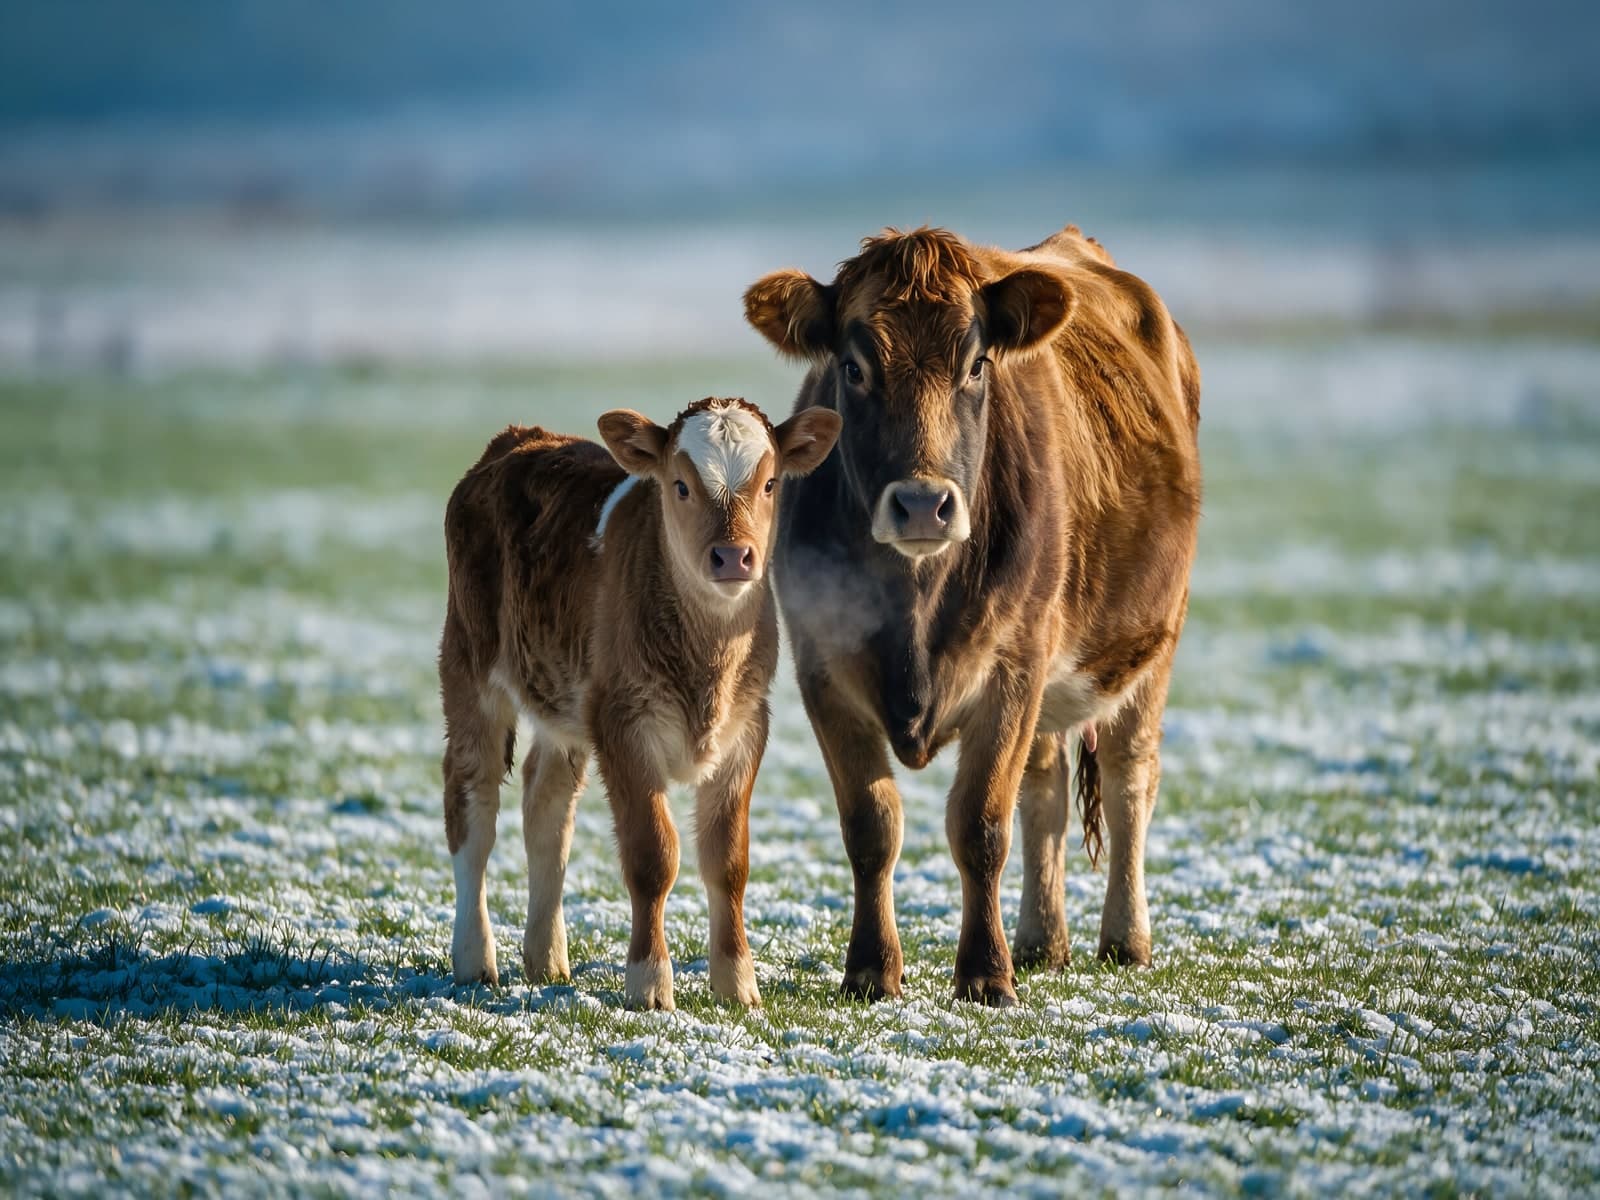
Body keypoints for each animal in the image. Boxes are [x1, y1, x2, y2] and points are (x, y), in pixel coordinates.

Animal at [438, 398, 841, 1010]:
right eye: (680, 485)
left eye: (770, 483)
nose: (732, 556)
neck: (708, 661)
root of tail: (517, 438)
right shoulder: (624, 723)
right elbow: (653, 856)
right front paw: (649, 983)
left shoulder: (748, 726)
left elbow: (729, 860)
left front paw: (737, 983)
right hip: (469, 663)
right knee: (472, 805)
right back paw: (474, 959)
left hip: (565, 703)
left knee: (547, 807)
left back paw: (546, 958)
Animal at [743, 225, 1201, 1005]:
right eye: (853, 366)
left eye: (977, 363)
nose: (923, 504)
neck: (914, 608)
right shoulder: (823, 668)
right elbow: (871, 826)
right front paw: (872, 969)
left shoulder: (1012, 671)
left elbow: (981, 825)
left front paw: (985, 975)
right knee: (1045, 790)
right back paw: (1042, 941)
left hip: (1149, 647)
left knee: (1128, 778)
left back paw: (1124, 940)